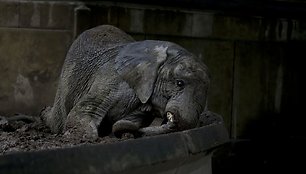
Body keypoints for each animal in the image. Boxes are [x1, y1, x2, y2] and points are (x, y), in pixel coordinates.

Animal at [43, 24, 210, 139]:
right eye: (179, 83)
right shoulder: (111, 79)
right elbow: (81, 113)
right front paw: (87, 137)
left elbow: (133, 120)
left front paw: (125, 131)